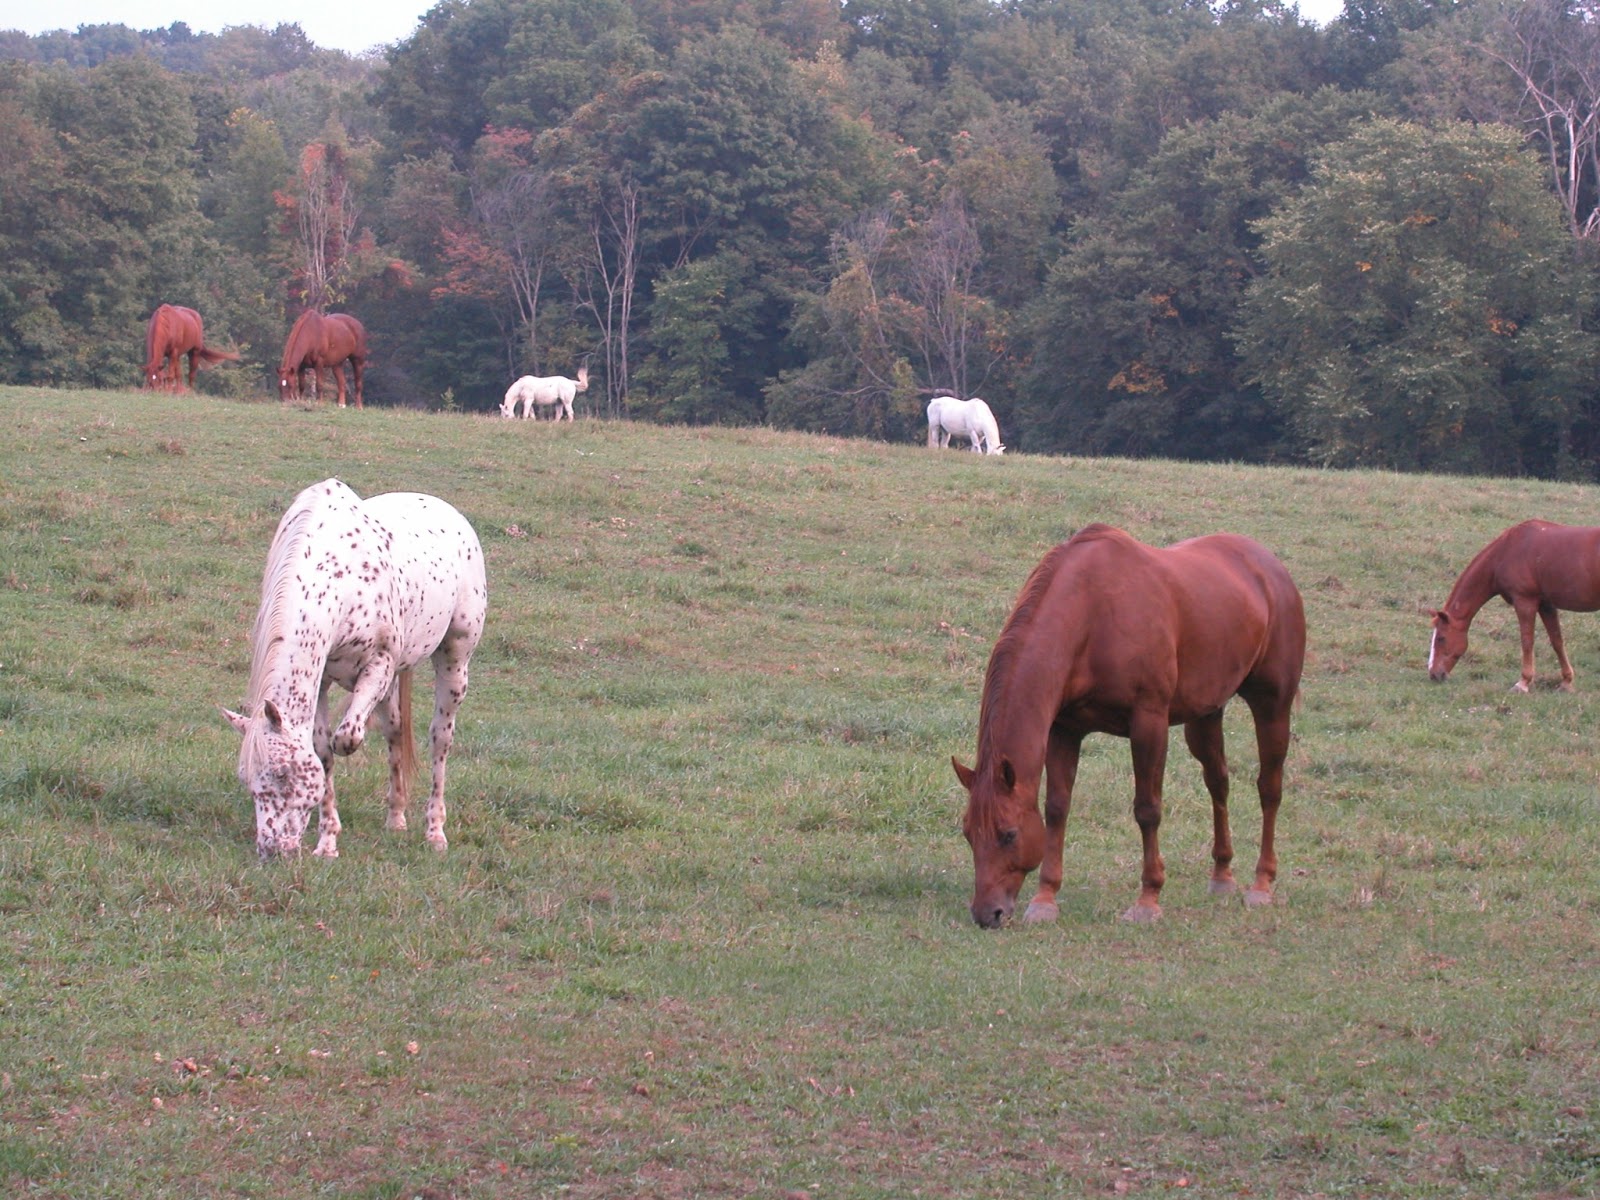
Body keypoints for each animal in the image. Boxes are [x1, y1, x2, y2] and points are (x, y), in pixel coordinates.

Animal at [222, 478, 487, 859]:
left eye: (284, 774)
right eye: (247, 780)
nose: (272, 850)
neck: (339, 577)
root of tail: (452, 514)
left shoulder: (379, 664)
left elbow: (346, 738)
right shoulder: (320, 681)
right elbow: (323, 749)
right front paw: (327, 842)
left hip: (454, 660)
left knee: (440, 739)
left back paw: (435, 832)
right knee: (395, 730)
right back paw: (396, 818)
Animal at [955, 524, 1305, 928]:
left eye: (1009, 834)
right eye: (968, 833)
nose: (987, 913)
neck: (1091, 615)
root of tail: (1270, 566)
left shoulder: (1149, 725)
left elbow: (1147, 810)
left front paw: (1148, 900)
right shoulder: (1064, 730)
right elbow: (1057, 807)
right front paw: (1045, 899)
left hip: (1272, 707)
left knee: (1269, 788)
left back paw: (1261, 884)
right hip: (1206, 713)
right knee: (1218, 782)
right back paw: (1222, 877)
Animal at [1428, 519, 1600, 692]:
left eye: (1441, 638)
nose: (1434, 674)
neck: (1506, 551)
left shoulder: (1524, 602)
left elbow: (1527, 641)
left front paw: (1523, 682)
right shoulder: (1546, 605)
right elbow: (1557, 641)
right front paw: (1566, 681)